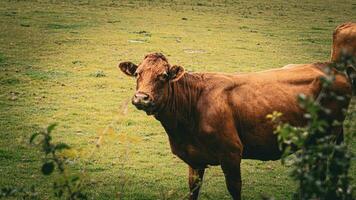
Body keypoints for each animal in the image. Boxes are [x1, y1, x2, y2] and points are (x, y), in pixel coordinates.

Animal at [117, 52, 354, 199]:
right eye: (137, 73)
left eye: (164, 76)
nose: (141, 98)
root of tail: (332, 66)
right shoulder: (194, 159)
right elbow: (193, 190)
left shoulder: (231, 154)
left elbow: (234, 189)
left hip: (326, 138)